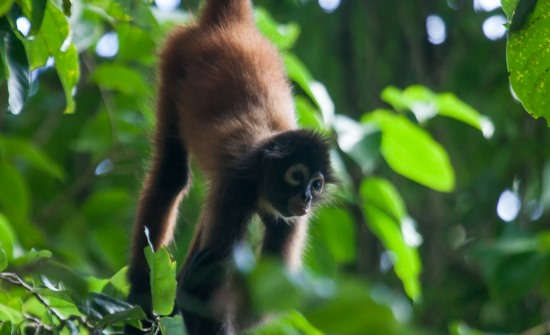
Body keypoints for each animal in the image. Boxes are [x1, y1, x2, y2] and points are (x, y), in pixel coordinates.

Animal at [128, 0, 336, 334]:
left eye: (316, 184)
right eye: (296, 176)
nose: (306, 197)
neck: (261, 171)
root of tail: (231, 26)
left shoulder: (290, 218)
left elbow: (262, 300)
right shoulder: (237, 185)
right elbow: (201, 291)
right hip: (175, 58)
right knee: (170, 175)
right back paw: (140, 294)